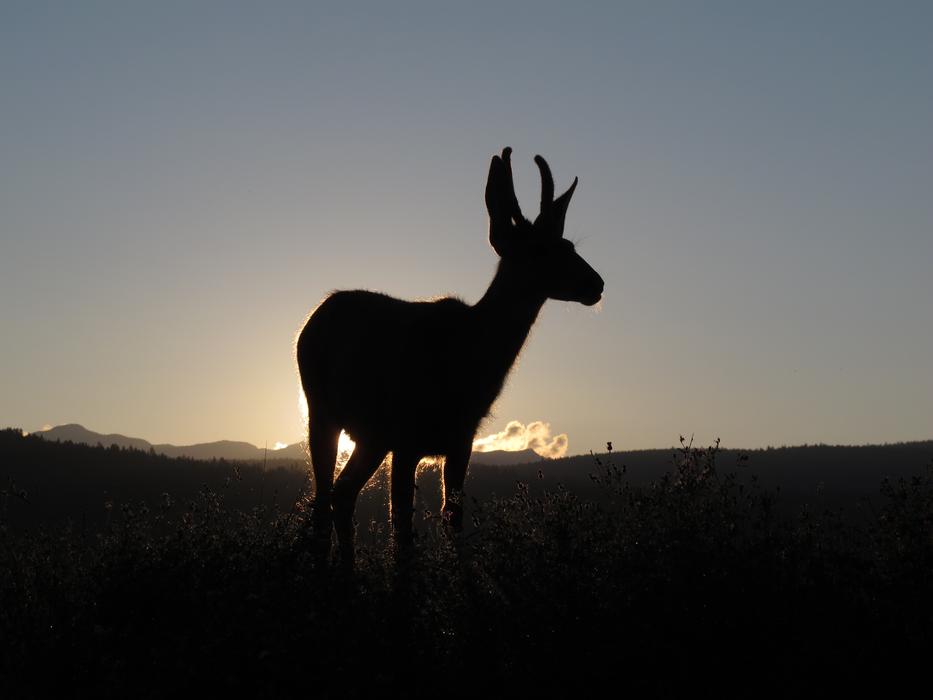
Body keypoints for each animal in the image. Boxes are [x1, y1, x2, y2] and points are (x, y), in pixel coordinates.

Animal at [295, 147, 604, 564]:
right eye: (541, 250)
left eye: (570, 245)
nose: (596, 283)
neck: (467, 363)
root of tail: (315, 317)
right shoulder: (407, 436)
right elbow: (402, 531)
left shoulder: (460, 440)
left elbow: (452, 521)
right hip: (322, 411)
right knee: (323, 500)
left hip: (371, 437)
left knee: (342, 494)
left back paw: (348, 570)